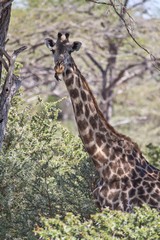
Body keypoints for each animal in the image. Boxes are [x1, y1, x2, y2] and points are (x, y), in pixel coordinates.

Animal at [44, 31, 160, 212]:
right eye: (53, 50)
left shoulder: (119, 209)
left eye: (70, 51)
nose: (59, 68)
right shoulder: (100, 207)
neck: (103, 162)